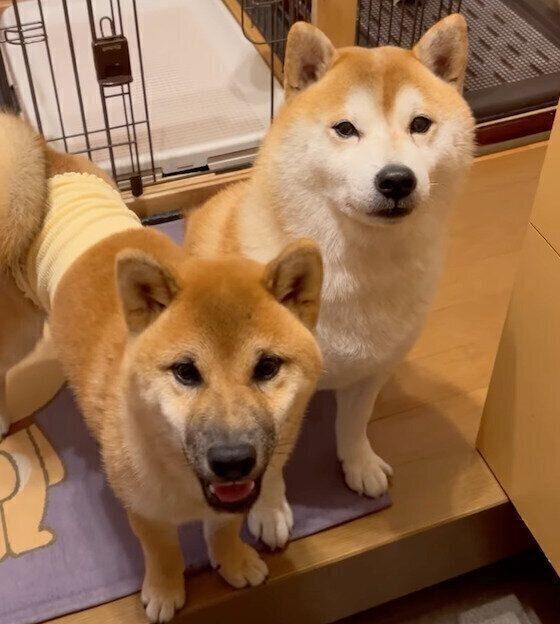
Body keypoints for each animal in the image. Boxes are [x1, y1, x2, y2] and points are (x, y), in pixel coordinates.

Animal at [0, 114, 322, 620]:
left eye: (267, 367)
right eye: (185, 372)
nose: (232, 461)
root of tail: (44, 157)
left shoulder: (225, 504)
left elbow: (223, 530)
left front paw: (232, 561)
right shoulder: (142, 509)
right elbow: (163, 550)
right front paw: (166, 590)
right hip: (18, 330)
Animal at [186, 14, 474, 548]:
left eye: (420, 124)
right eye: (345, 129)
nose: (397, 179)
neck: (355, 268)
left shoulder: (374, 367)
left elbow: (354, 425)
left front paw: (358, 463)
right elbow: (268, 467)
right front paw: (269, 510)